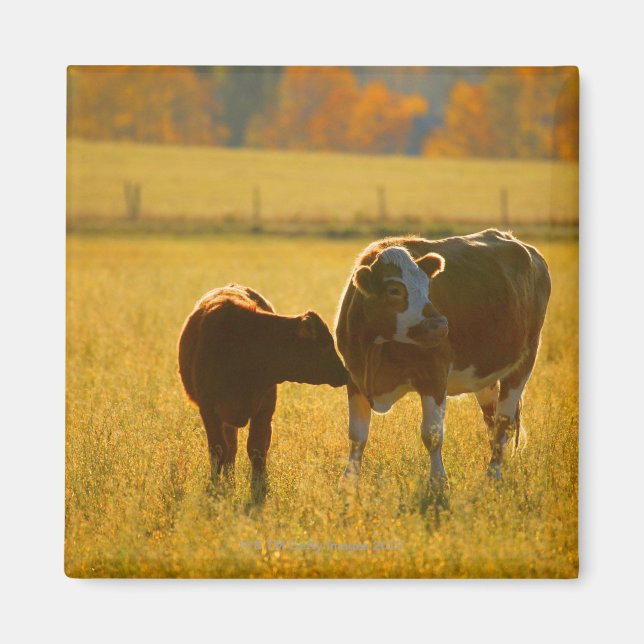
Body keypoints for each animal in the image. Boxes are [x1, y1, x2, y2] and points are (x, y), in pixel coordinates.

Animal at [178, 284, 347, 489]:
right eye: (325, 344)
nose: (344, 374)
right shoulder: (208, 408)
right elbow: (218, 449)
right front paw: (215, 487)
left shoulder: (265, 407)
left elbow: (257, 448)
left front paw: (259, 486)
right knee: (230, 448)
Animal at [335, 229, 551, 483]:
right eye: (394, 290)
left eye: (427, 286)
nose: (439, 325)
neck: (375, 352)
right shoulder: (354, 379)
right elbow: (357, 436)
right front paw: (348, 482)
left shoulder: (434, 377)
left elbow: (432, 435)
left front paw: (438, 481)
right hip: (485, 375)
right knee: (491, 419)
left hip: (525, 360)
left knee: (503, 422)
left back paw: (493, 474)